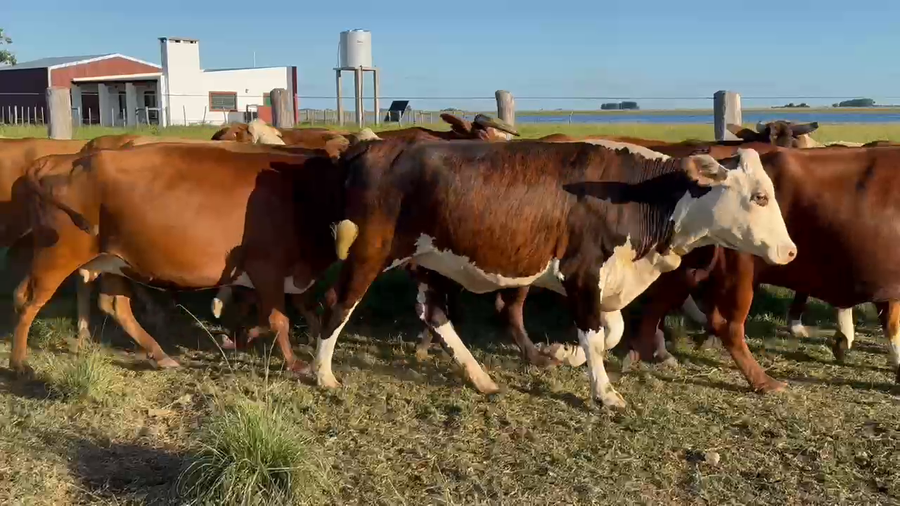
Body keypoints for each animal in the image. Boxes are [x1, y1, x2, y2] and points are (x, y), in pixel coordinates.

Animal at [311, 138, 797, 407]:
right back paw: (323, 375)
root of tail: (374, 145)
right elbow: (595, 334)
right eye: (759, 196)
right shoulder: (582, 272)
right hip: (369, 251)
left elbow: (611, 332)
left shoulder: (604, 280)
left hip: (431, 259)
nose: (789, 251)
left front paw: (564, 354)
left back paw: (480, 378)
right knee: (339, 303)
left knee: (434, 314)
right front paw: (604, 392)